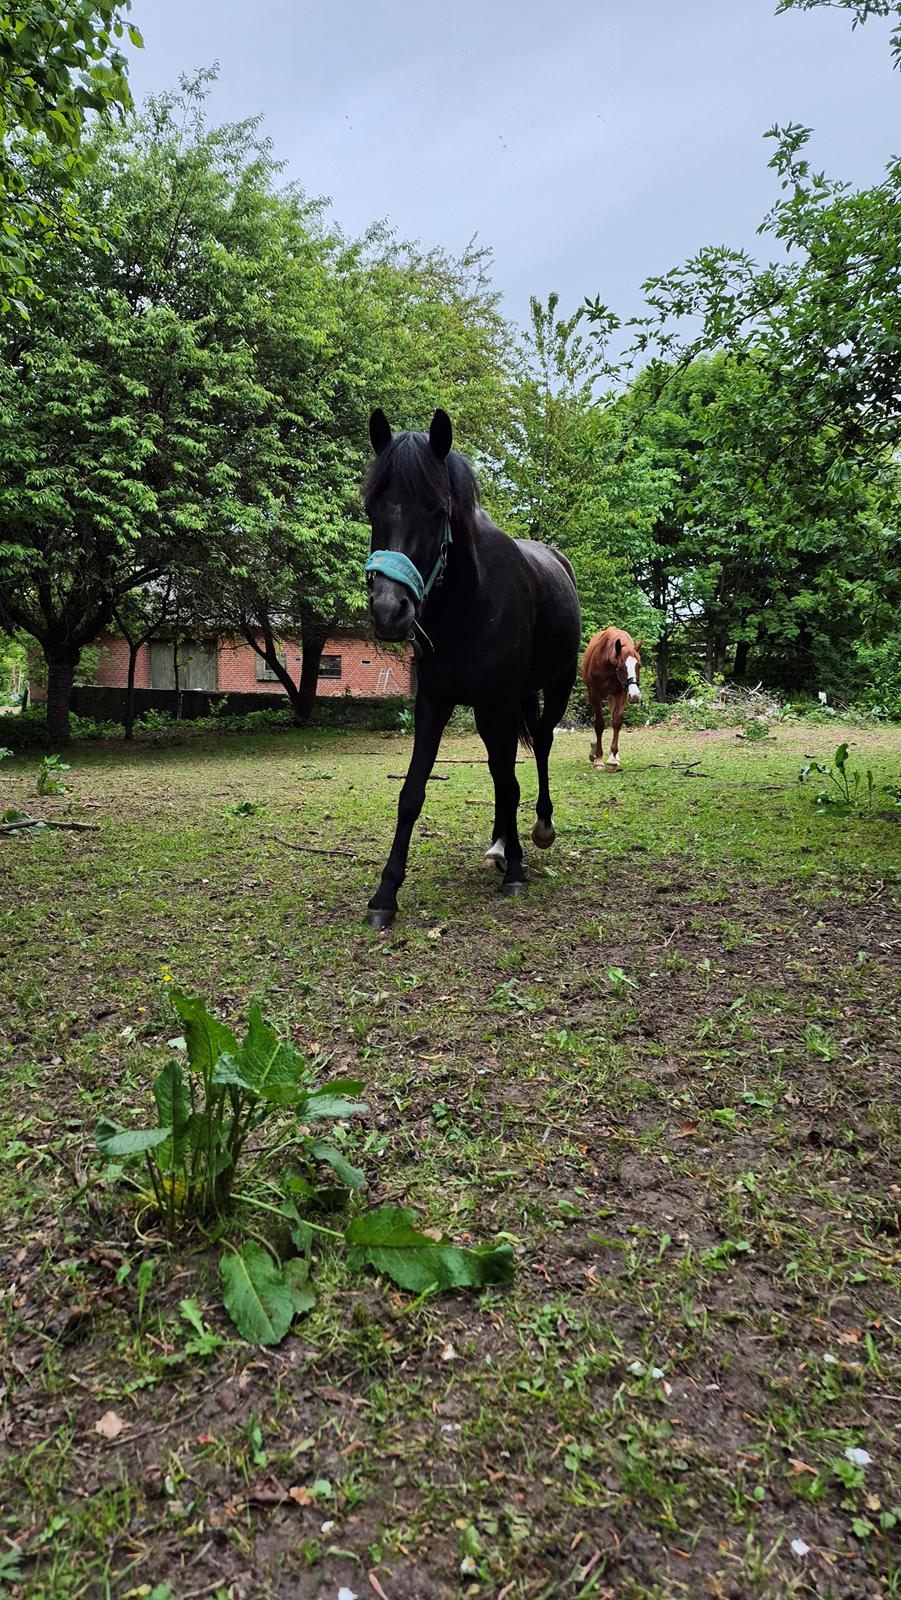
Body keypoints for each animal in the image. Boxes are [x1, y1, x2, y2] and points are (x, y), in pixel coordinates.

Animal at [363, 407, 581, 929]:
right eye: (370, 510)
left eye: (437, 511)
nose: (388, 610)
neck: (469, 605)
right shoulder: (435, 703)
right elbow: (412, 793)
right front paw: (386, 894)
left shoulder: (500, 702)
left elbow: (512, 780)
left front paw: (518, 870)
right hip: (492, 710)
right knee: (502, 766)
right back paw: (500, 842)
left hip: (553, 688)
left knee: (540, 746)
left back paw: (538, 829)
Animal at [582, 627, 643, 770]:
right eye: (621, 667)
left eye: (639, 665)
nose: (635, 695)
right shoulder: (594, 693)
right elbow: (599, 724)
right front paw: (598, 759)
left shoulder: (622, 692)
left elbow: (617, 721)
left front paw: (613, 759)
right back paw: (594, 751)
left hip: (613, 696)